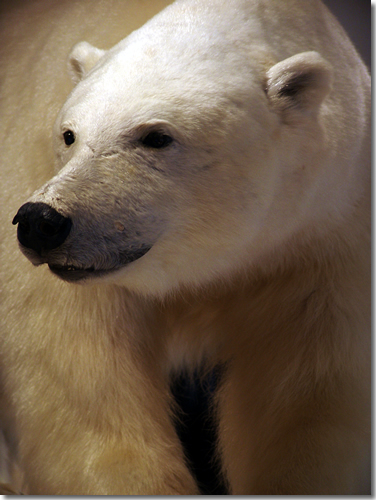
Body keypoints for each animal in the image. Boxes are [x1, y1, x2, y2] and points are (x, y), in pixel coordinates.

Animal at [0, 0, 370, 494]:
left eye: (156, 136)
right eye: (69, 134)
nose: (42, 222)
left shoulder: (321, 236)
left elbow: (306, 398)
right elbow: (80, 386)